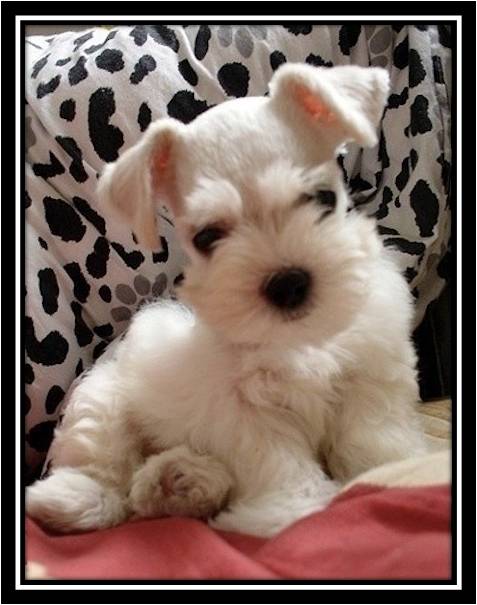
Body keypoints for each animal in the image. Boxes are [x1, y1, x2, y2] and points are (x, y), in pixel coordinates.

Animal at [26, 63, 424, 536]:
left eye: (323, 198)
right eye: (207, 237)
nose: (287, 282)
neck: (298, 339)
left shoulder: (371, 371)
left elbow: (372, 435)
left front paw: (389, 473)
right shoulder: (240, 411)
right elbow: (279, 462)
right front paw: (291, 509)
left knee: (145, 493)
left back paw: (180, 481)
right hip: (102, 400)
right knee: (106, 470)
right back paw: (78, 498)